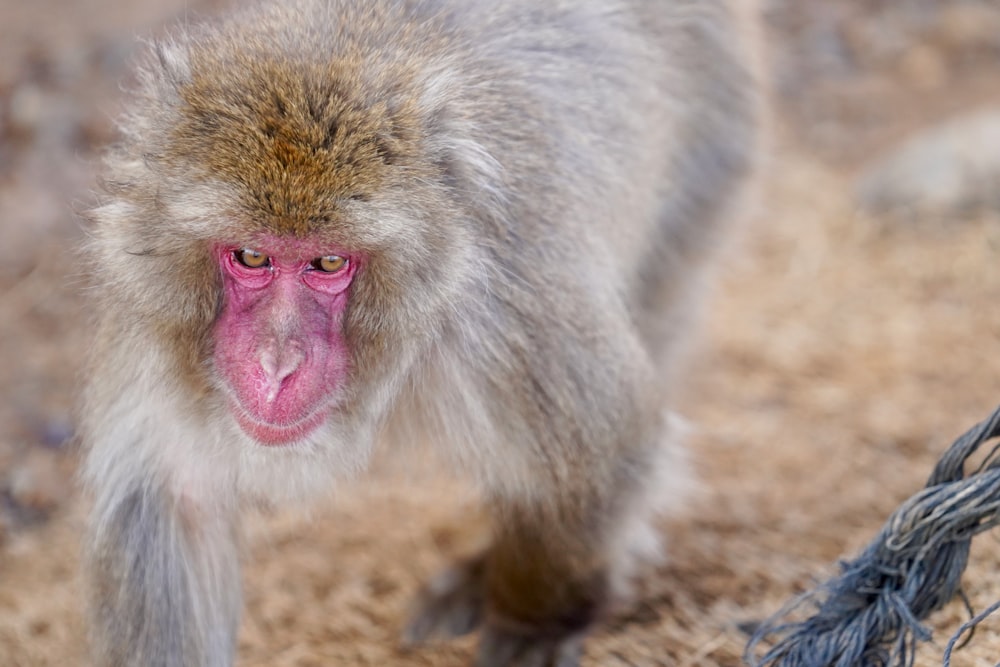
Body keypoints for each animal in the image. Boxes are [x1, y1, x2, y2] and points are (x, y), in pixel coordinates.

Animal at [80, 0, 756, 664]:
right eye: (252, 256)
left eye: (329, 262)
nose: (277, 363)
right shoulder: (157, 330)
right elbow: (174, 501)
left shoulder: (504, 316)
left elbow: (607, 449)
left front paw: (533, 617)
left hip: (707, 157)